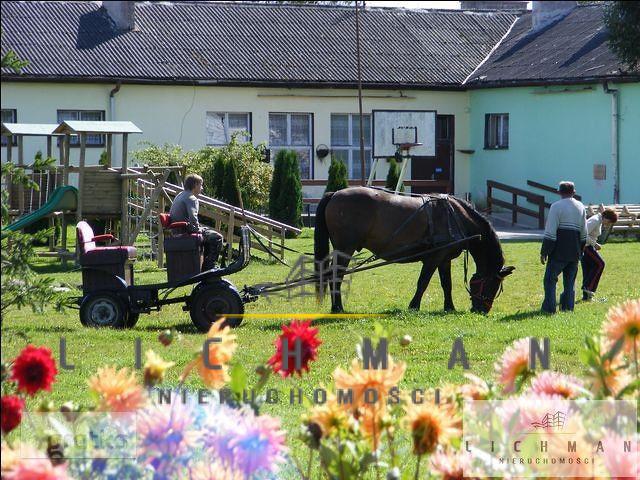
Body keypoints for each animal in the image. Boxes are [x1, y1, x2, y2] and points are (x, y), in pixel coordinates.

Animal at [314, 188, 516, 316]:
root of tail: (334, 194)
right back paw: (338, 307)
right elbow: (423, 282)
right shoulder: (434, 258)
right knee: (336, 276)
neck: (455, 217)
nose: (482, 310)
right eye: (493, 284)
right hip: (345, 249)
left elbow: (447, 284)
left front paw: (449, 307)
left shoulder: (444, 259)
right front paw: (413, 306)